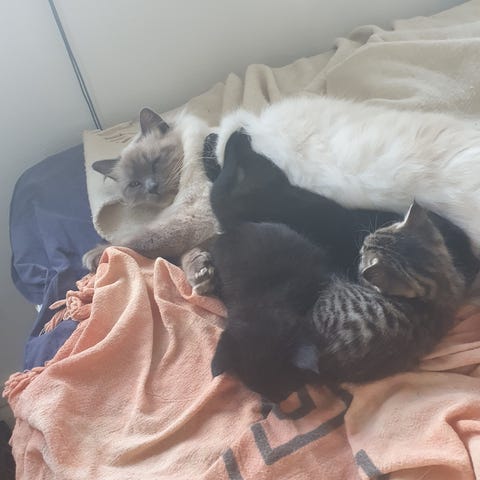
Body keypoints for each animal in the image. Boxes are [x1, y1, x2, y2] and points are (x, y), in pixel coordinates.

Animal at [83, 107, 218, 294]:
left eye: (154, 163)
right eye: (135, 184)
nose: (152, 187)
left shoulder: (194, 217)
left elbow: (132, 241)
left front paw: (94, 255)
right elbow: (186, 254)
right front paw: (201, 275)